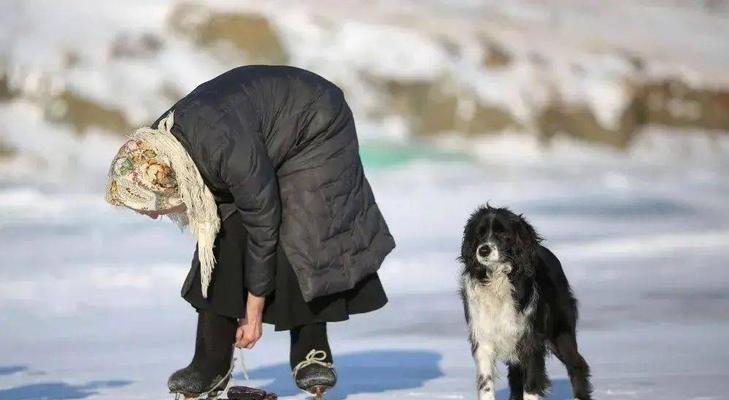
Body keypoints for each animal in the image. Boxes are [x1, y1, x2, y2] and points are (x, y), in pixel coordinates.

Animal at [460, 206, 592, 400]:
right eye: (480, 233)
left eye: (502, 233)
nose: (483, 250)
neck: (498, 280)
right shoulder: (483, 338)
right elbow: (486, 384)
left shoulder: (531, 340)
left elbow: (531, 386)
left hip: (561, 332)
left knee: (577, 364)